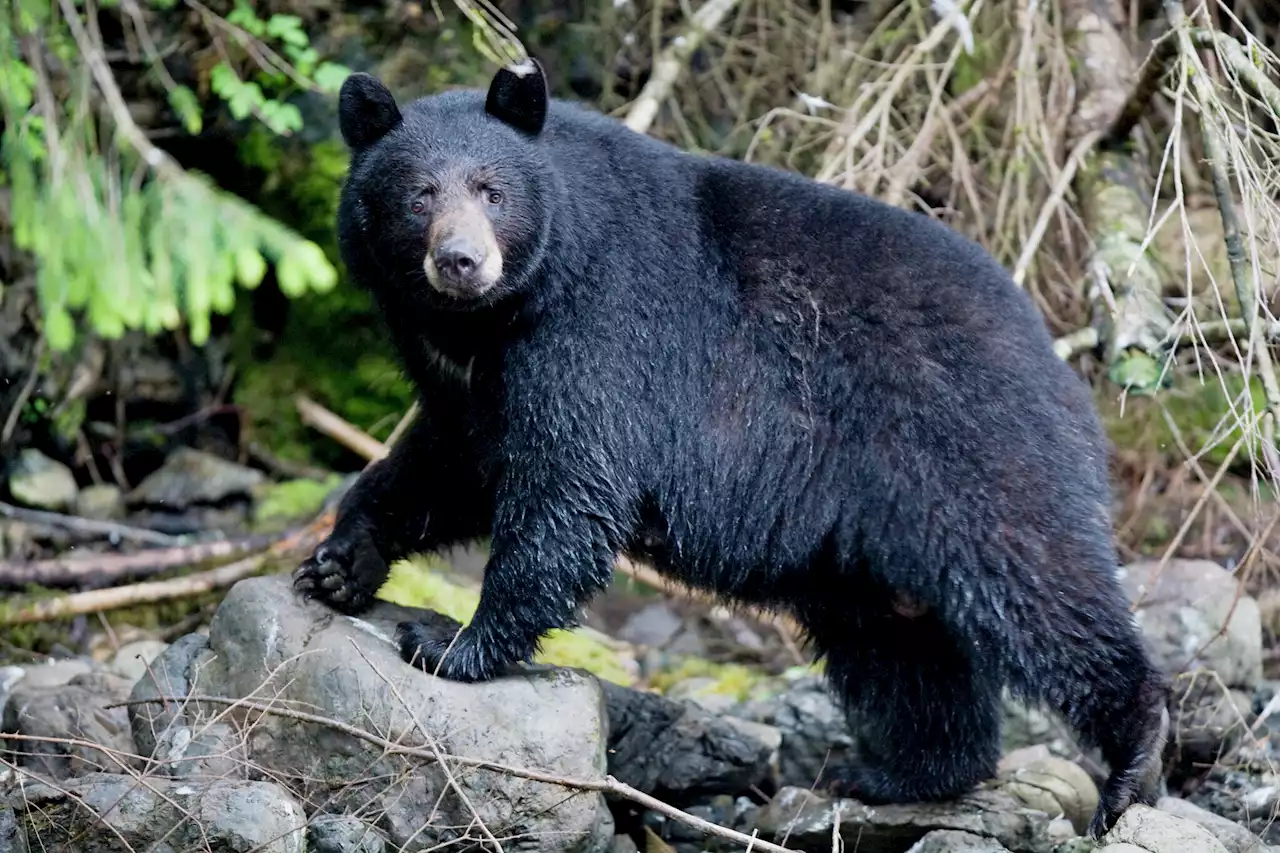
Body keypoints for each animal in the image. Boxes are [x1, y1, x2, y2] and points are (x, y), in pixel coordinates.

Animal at [296, 58, 1172, 829]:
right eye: (418, 196)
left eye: (491, 188)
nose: (461, 259)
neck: (490, 320)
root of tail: (1062, 369)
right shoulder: (467, 383)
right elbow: (448, 465)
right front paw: (340, 562)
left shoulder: (596, 329)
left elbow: (571, 486)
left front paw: (453, 641)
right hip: (865, 554)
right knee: (901, 649)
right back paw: (903, 772)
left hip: (973, 451)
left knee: (1040, 587)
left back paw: (1136, 748)